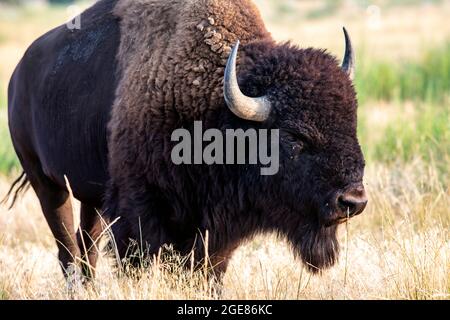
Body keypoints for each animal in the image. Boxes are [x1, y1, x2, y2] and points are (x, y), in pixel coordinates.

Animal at [5, 0, 366, 280]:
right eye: (293, 136)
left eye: (352, 121)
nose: (353, 201)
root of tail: (18, 75)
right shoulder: (137, 211)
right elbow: (134, 262)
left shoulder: (212, 230)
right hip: (46, 183)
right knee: (66, 246)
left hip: (90, 195)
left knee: (86, 244)